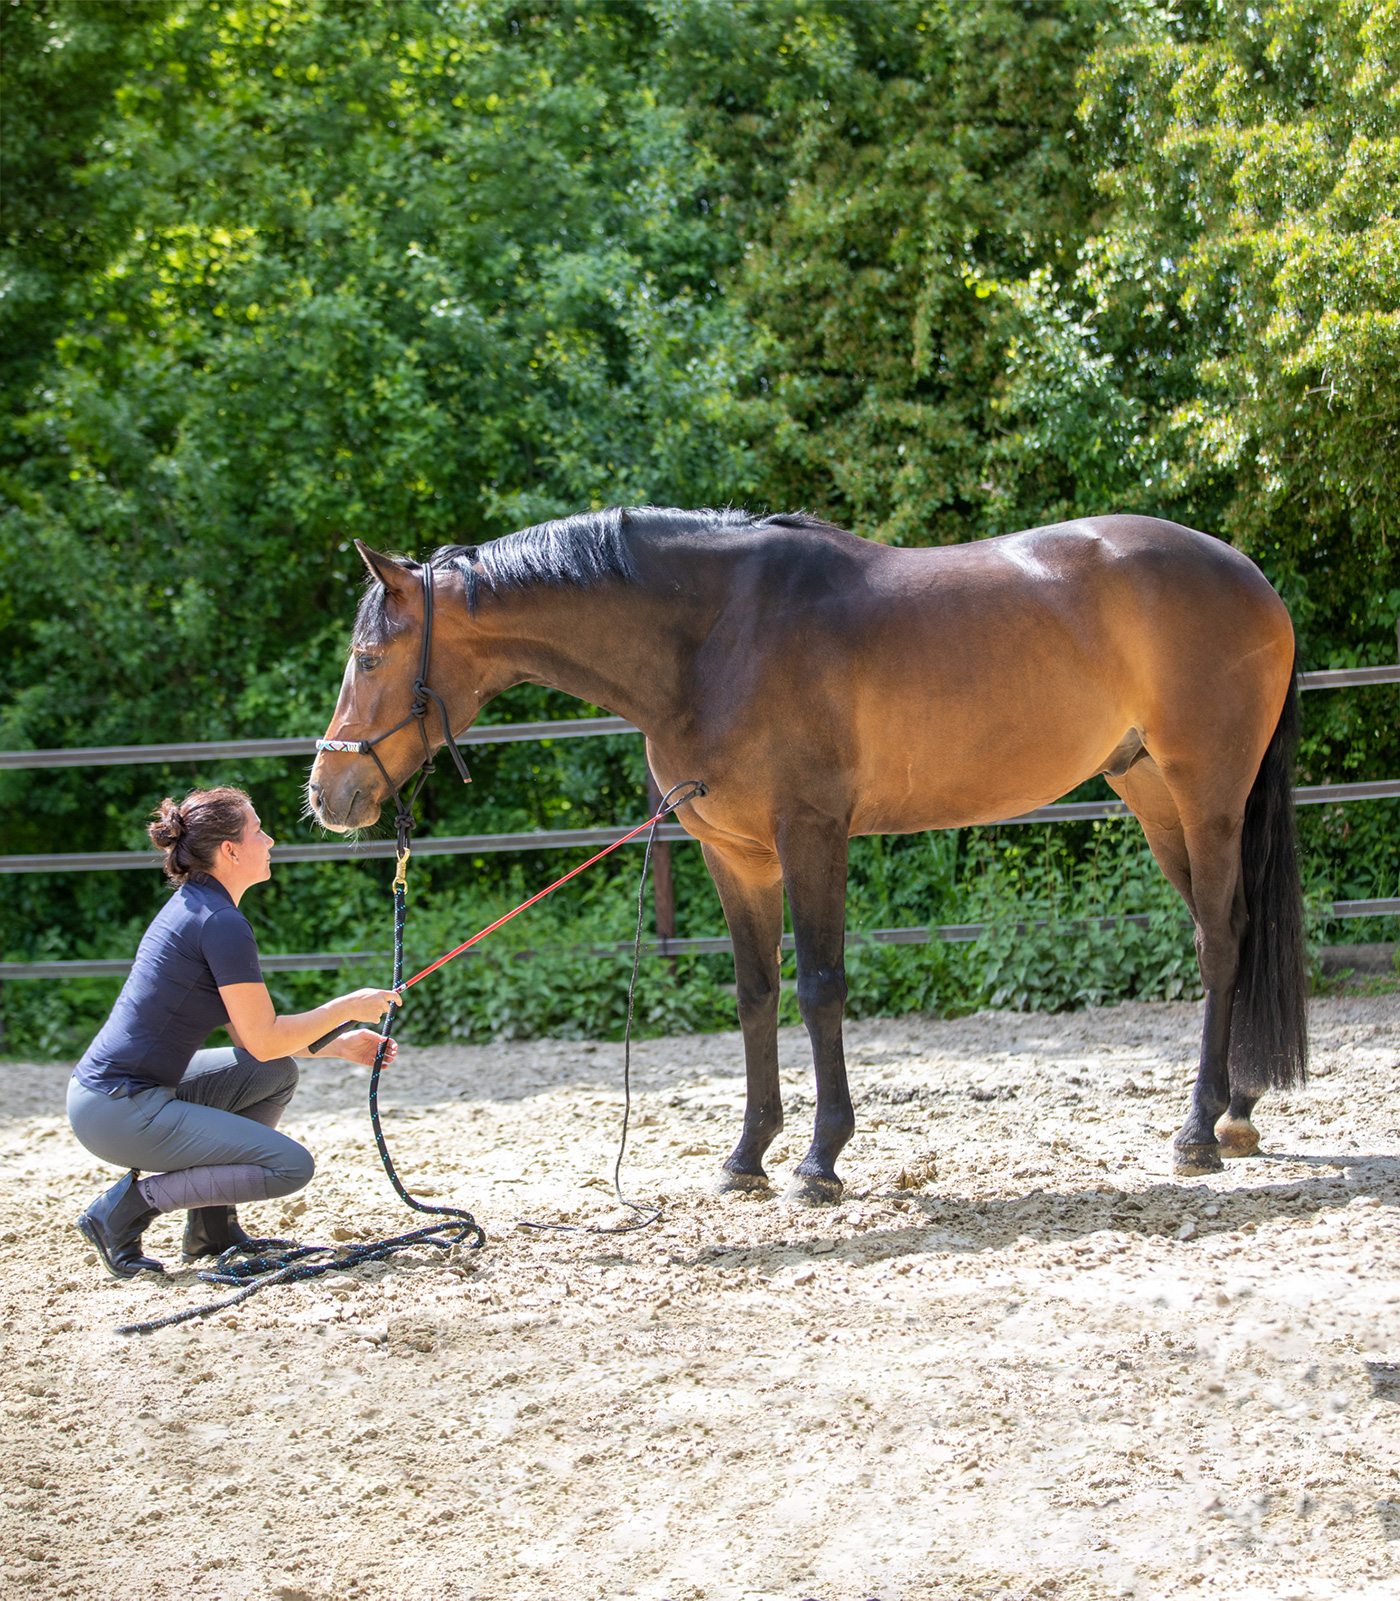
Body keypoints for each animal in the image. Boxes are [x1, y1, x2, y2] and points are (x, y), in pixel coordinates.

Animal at [305, 509, 1300, 1203]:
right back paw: (1238, 1111)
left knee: (1220, 939)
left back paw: (1197, 1131)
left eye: (369, 655)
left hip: (1206, 795)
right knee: (1232, 931)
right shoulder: (736, 853)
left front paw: (821, 1158)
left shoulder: (811, 831)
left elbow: (821, 986)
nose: (326, 793)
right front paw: (746, 1155)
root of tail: (1253, 578)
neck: (713, 637)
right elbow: (756, 993)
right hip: (1151, 793)